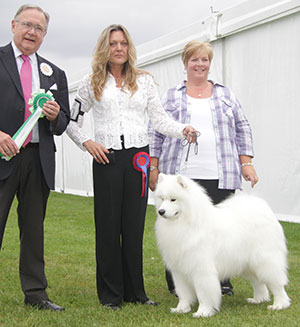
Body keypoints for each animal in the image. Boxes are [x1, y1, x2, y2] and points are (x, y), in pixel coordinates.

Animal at [155, 174, 290, 318]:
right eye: (162, 199)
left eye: (173, 199)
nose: (161, 211)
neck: (185, 222)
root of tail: (264, 209)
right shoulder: (179, 271)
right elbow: (183, 294)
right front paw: (181, 309)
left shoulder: (201, 270)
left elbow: (203, 294)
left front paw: (203, 312)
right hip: (247, 265)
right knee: (259, 283)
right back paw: (258, 299)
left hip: (265, 262)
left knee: (277, 285)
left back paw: (279, 305)